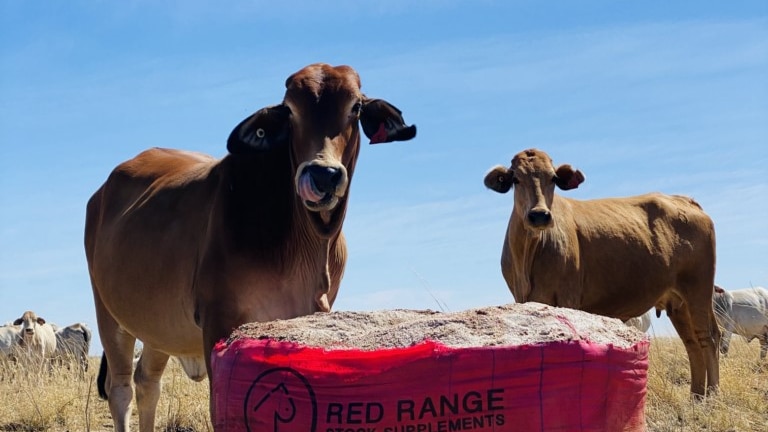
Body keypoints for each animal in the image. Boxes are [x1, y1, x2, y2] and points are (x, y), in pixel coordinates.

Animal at [85, 62, 414, 430]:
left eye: (355, 107)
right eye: (289, 110)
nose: (323, 175)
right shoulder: (219, 321)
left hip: (160, 324)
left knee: (147, 384)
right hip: (109, 315)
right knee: (121, 390)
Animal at [486, 149, 720, 398]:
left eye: (553, 178)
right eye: (516, 179)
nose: (539, 215)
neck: (528, 255)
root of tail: (685, 200)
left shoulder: (568, 298)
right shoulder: (522, 299)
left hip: (699, 289)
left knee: (709, 338)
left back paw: (713, 395)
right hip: (678, 302)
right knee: (692, 343)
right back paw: (696, 397)